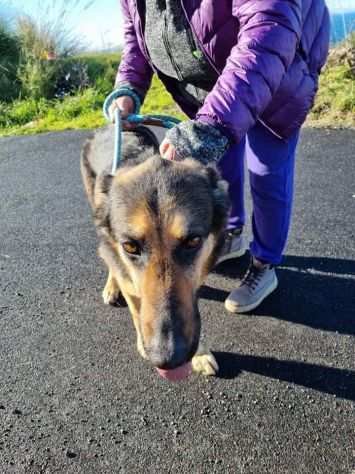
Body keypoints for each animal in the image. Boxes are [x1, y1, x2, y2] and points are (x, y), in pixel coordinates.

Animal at [80, 125, 229, 382]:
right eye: (130, 247)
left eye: (193, 241)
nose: (168, 358)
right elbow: (135, 308)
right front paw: (142, 342)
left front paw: (199, 354)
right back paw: (111, 287)